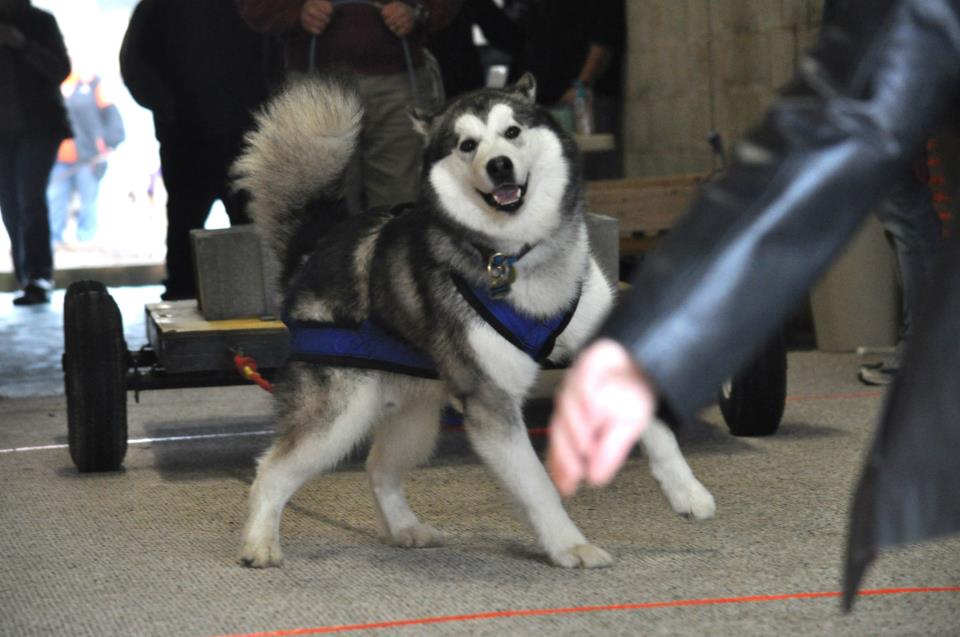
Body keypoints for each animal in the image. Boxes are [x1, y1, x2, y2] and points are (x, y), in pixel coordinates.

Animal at [231, 73, 712, 568]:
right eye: (467, 145)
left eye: (513, 132)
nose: (499, 165)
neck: (518, 256)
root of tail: (315, 248)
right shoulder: (491, 400)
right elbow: (537, 486)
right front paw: (569, 545)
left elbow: (657, 430)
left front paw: (687, 492)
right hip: (340, 414)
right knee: (272, 469)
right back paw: (260, 543)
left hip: (415, 416)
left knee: (378, 467)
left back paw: (405, 528)